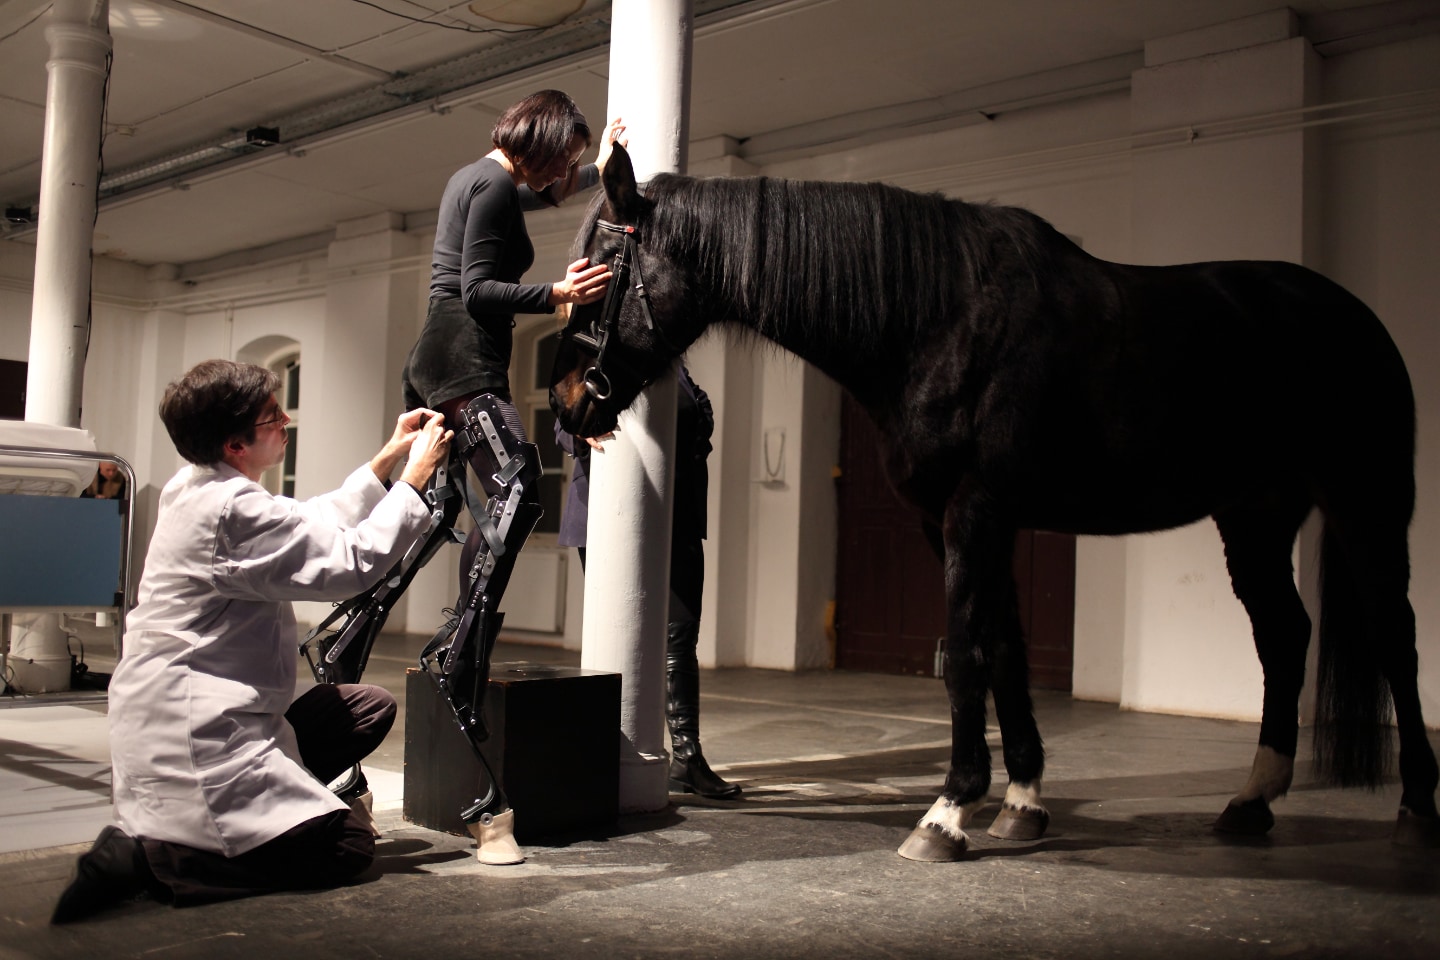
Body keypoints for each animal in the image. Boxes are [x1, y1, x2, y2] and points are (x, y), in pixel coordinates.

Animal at [544, 144, 1434, 863]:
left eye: (598, 268)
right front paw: (1022, 804)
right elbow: (1005, 649)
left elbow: (968, 652)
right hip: (1253, 517)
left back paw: (1416, 806)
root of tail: (1354, 317)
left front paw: (945, 814)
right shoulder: (956, 524)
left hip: (1367, 505)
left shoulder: (975, 511)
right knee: (1285, 637)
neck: (938, 319)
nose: (566, 403)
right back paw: (1251, 802)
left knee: (1394, 636)